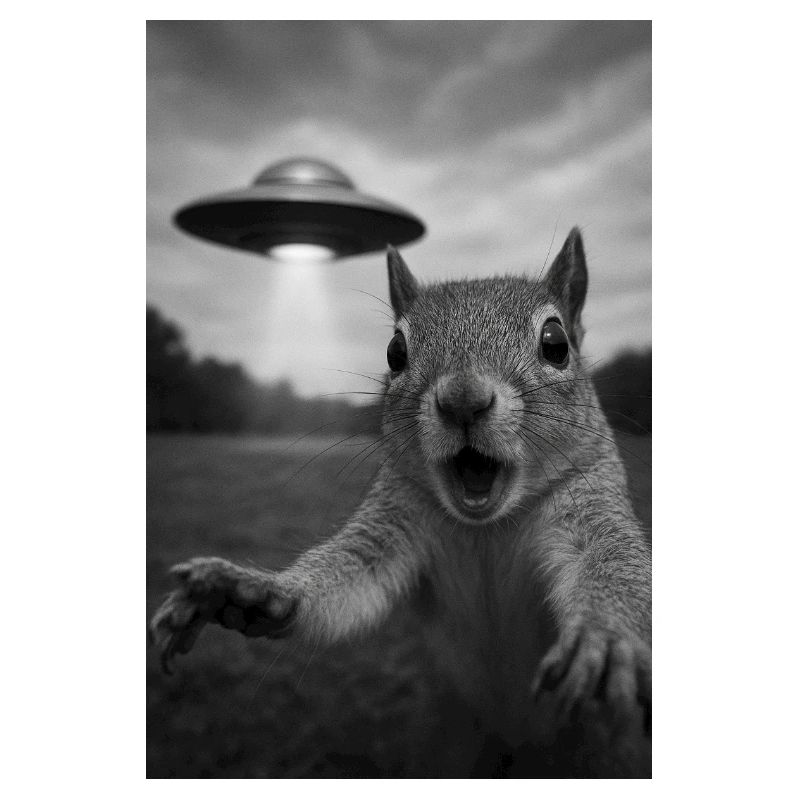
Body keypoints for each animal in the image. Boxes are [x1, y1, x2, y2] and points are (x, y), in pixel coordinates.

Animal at [149, 227, 652, 777]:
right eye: (394, 351)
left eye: (556, 344)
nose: (463, 400)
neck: (487, 527)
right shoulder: (393, 519)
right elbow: (350, 578)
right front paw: (251, 591)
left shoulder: (591, 501)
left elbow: (613, 563)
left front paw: (605, 636)